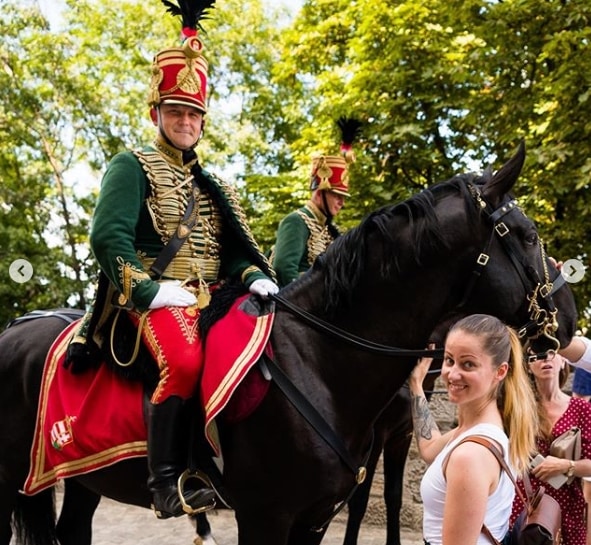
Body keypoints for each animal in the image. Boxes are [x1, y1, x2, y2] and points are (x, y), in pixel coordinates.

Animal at [1, 144, 580, 544]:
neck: (320, 362)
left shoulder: (317, 513)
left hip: (83, 476)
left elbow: (385, 498)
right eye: (529, 236)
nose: (570, 323)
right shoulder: (266, 516)